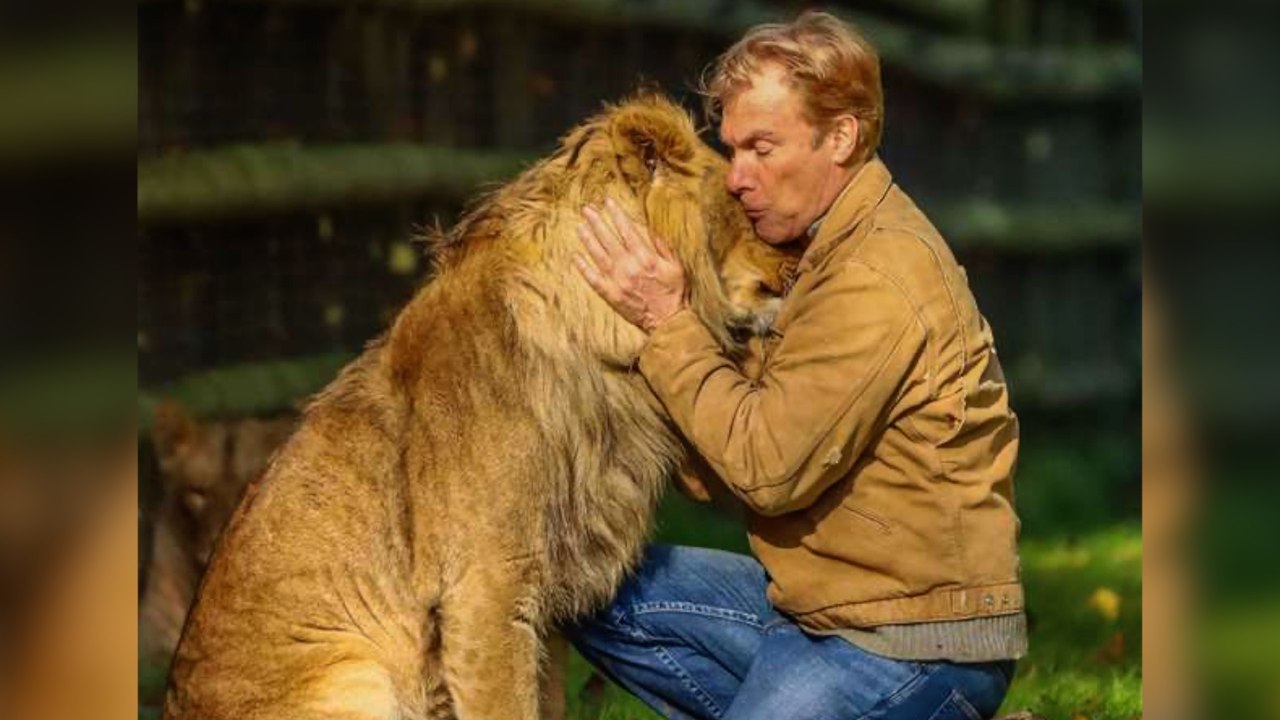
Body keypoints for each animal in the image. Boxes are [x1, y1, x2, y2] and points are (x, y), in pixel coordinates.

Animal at [163, 93, 798, 720]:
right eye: (744, 206)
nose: (795, 269)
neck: (601, 355)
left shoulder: (550, 595)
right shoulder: (487, 590)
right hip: (357, 674)